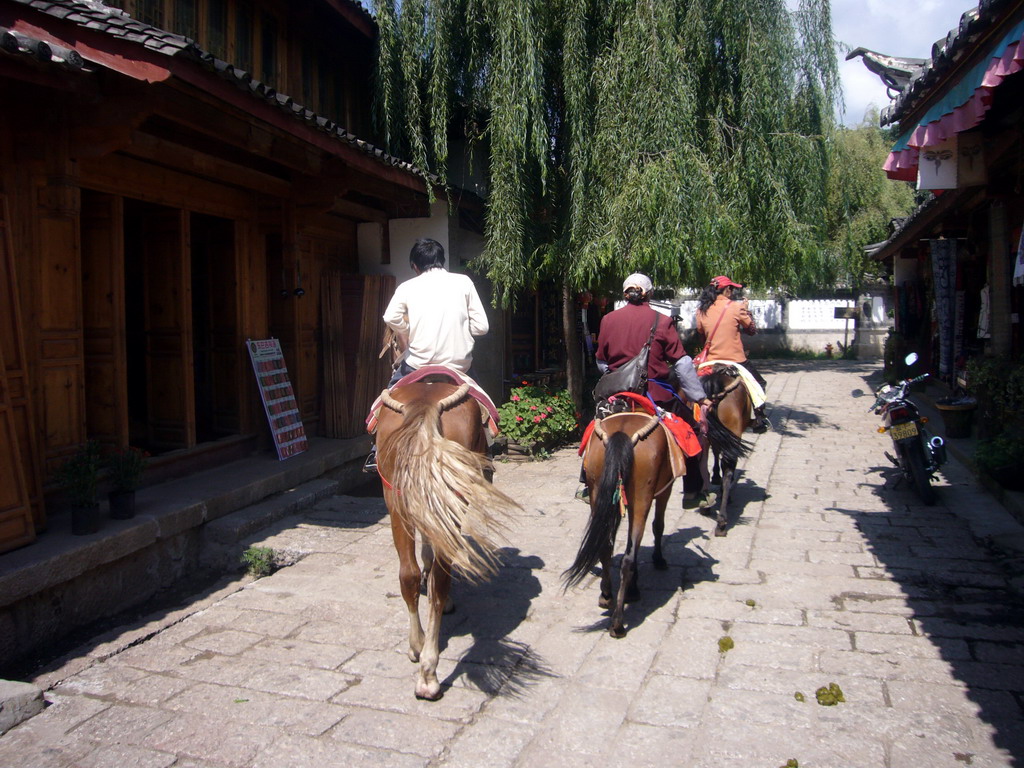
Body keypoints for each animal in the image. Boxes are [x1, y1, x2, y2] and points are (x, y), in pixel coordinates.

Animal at [374, 382, 520, 700]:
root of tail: (425, 404)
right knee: (438, 580)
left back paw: (419, 650)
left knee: (409, 575)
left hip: (396, 502)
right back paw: (428, 671)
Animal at [565, 411, 675, 638]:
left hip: (597, 492)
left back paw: (607, 596)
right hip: (642, 498)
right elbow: (658, 526)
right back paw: (618, 623)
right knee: (627, 558)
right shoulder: (664, 490)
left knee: (604, 548)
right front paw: (657, 561)